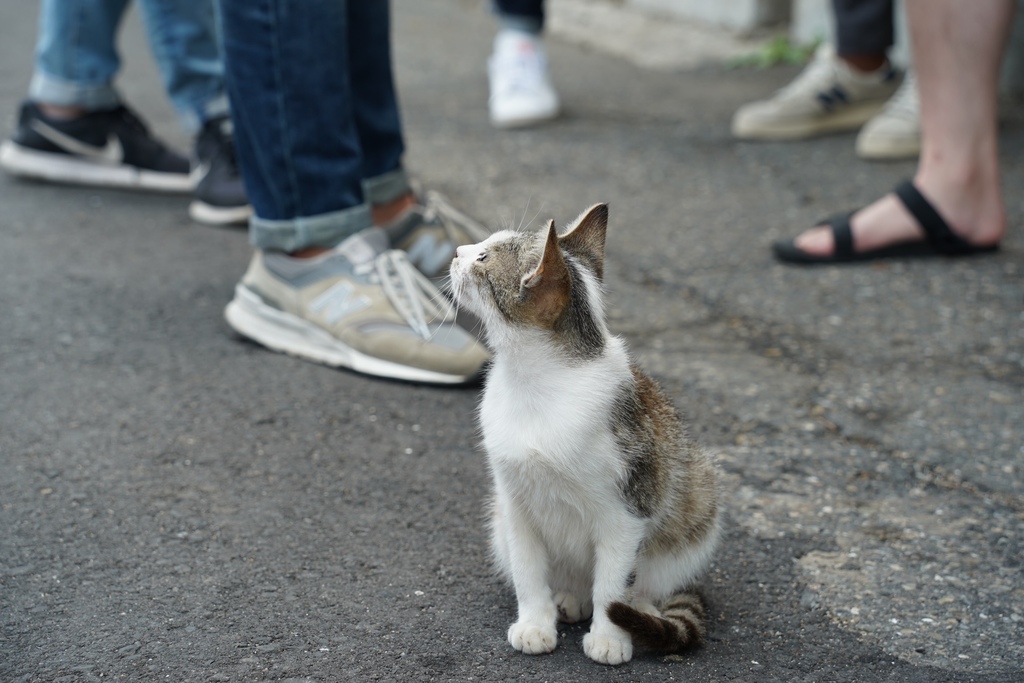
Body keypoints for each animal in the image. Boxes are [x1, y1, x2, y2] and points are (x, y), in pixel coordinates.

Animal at [448, 204, 720, 667]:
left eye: (484, 258)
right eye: (480, 246)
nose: (456, 252)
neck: (536, 384)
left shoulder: (627, 510)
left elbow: (613, 583)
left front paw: (610, 636)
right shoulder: (514, 502)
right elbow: (527, 570)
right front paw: (535, 622)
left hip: (698, 488)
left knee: (648, 580)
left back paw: (642, 609)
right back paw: (569, 597)